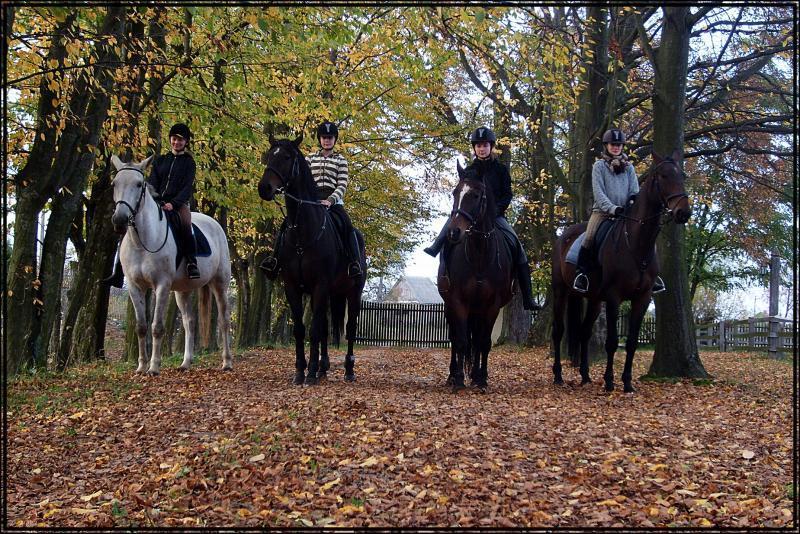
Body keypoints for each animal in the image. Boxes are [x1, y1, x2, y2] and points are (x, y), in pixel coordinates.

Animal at [108, 153, 231, 374]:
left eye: (139, 184)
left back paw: (227, 362)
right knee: (189, 322)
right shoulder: (134, 286)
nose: (120, 219)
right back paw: (185, 363)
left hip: (220, 284)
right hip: (182, 291)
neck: (142, 241)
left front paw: (154, 367)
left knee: (224, 320)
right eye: (115, 183)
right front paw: (141, 367)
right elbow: (141, 327)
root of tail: (214, 223)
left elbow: (157, 327)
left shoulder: (162, 285)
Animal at [258, 134, 368, 386]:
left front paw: (309, 373)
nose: (264, 188)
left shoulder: (320, 285)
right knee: (325, 328)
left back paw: (348, 370)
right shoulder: (292, 286)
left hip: (353, 292)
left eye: (287, 157)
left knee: (349, 327)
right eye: (269, 155)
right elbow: (302, 329)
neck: (303, 232)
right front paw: (301, 371)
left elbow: (315, 330)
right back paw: (323, 368)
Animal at [438, 163, 512, 394]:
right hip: (452, 308)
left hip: (479, 310)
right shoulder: (458, 302)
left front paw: (481, 379)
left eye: (476, 195)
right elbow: (461, 341)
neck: (480, 254)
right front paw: (459, 379)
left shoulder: (492, 306)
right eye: (455, 193)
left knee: (478, 340)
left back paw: (477, 374)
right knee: (455, 339)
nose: (454, 232)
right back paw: (452, 375)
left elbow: (483, 342)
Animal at [552, 151, 692, 394]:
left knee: (584, 332)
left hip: (594, 299)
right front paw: (609, 381)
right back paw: (558, 376)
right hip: (561, 292)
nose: (684, 211)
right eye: (663, 176)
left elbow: (632, 342)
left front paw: (627, 383)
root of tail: (564, 236)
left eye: (682, 175)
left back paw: (585, 376)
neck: (636, 244)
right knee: (559, 331)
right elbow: (611, 342)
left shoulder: (642, 298)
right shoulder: (614, 297)